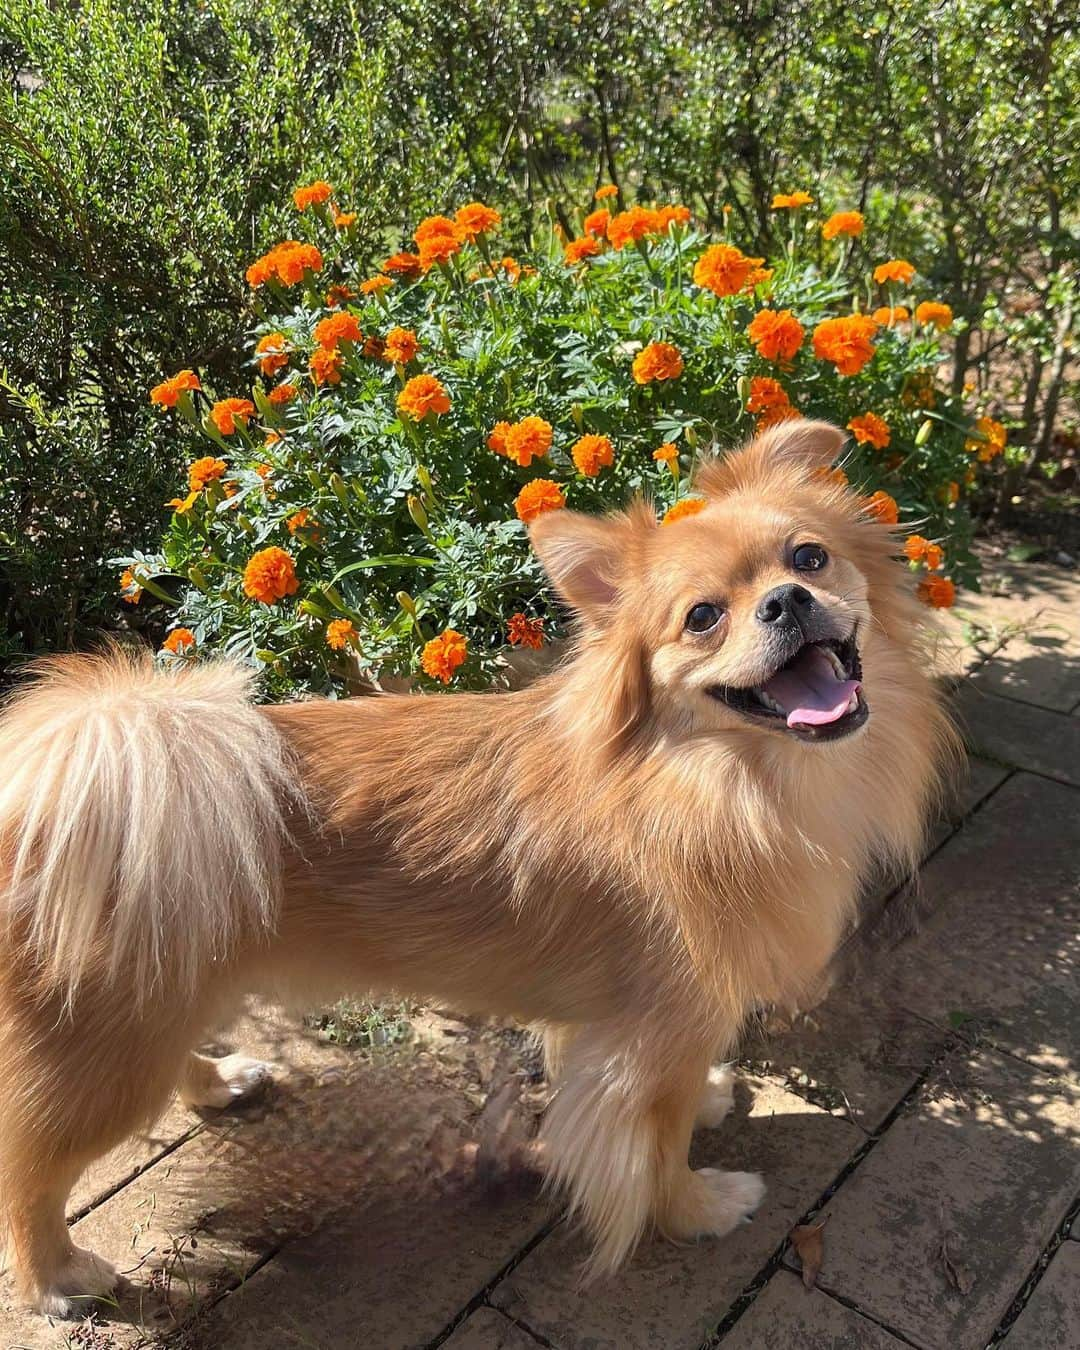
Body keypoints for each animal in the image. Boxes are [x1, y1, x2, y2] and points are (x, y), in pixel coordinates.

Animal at [0, 418, 955, 1306]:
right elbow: (653, 1151)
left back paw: (216, 1082)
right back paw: (56, 1277)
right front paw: (698, 1207)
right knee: (29, 1167)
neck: (720, 783)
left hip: (169, 990)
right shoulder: (646, 1045)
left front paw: (716, 1098)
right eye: (702, 617)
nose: (788, 601)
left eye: (810, 556)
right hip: (106, 1046)